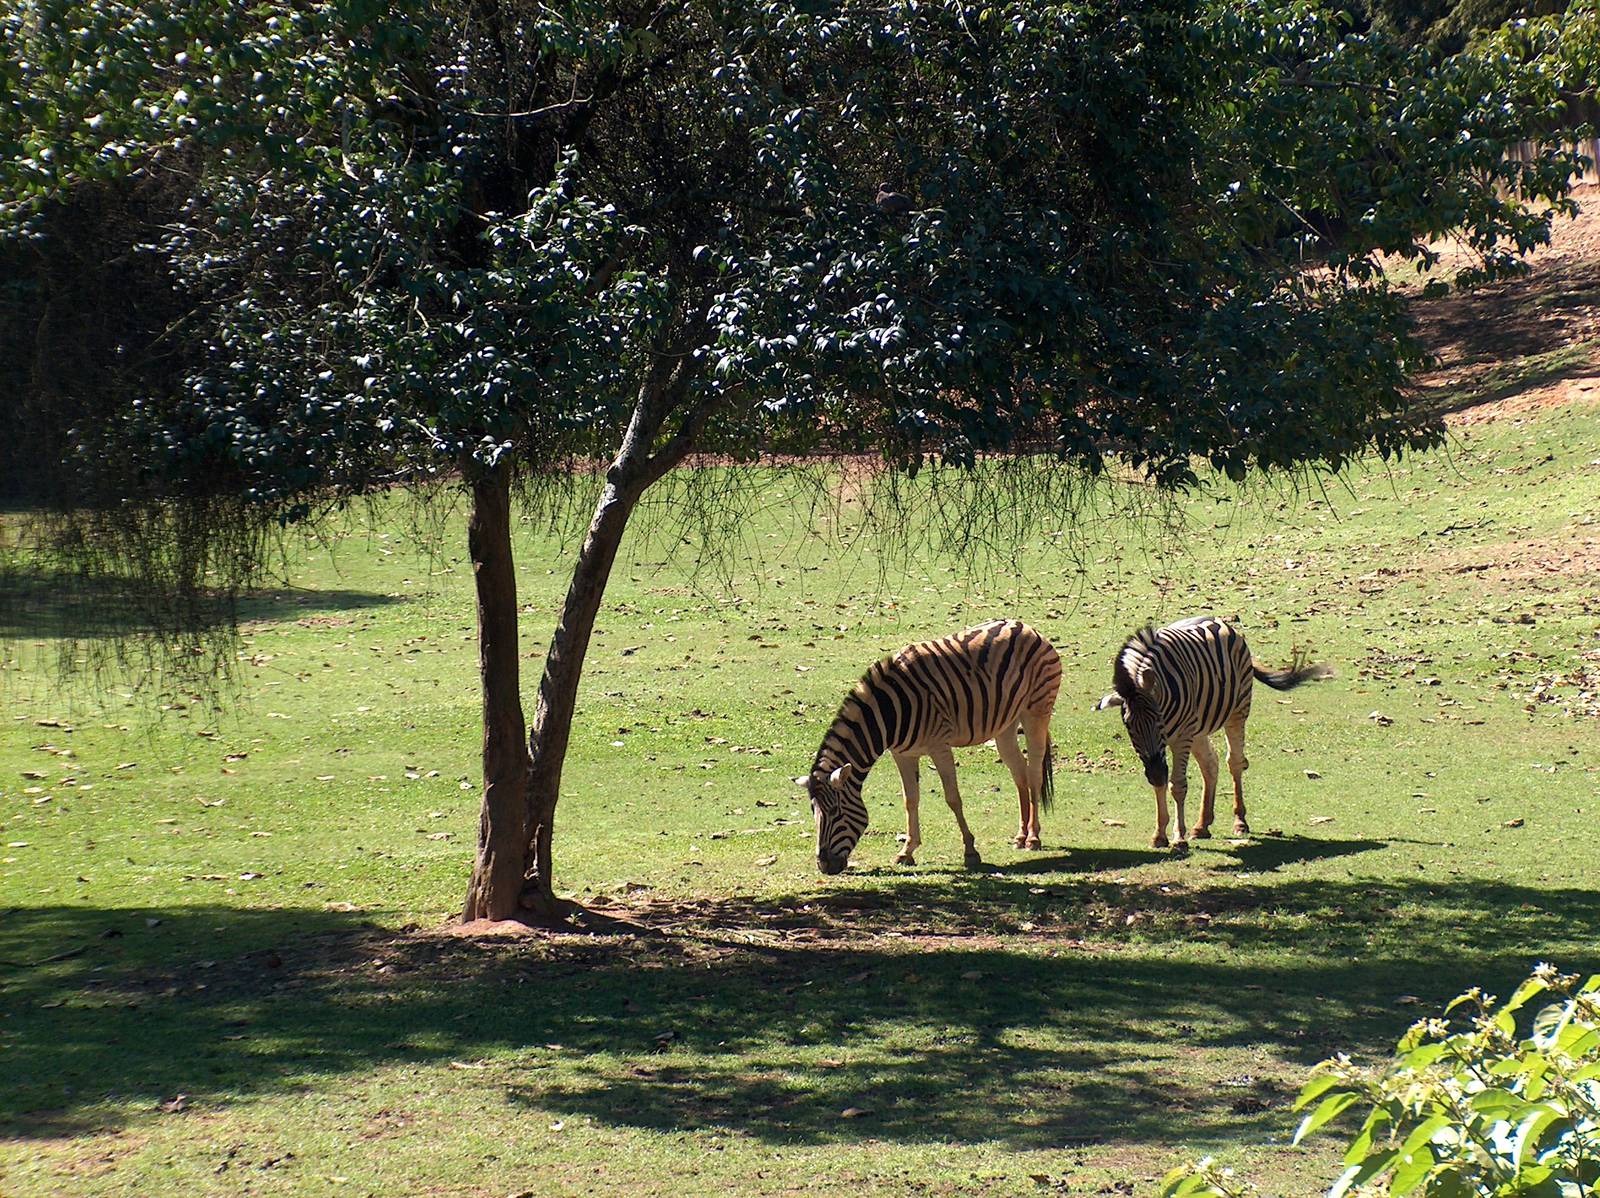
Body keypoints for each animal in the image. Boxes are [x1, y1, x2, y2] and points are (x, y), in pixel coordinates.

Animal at [803, 619, 1061, 875]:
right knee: (1020, 774)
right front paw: (906, 852)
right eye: (813, 812)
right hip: (1005, 726)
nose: (824, 866)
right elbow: (910, 800)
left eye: (835, 812)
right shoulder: (902, 754)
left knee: (1034, 773)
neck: (890, 713)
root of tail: (1024, 626)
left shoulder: (939, 747)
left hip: (1037, 710)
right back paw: (1020, 836)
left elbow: (953, 798)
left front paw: (970, 851)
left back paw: (1033, 838)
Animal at [1094, 616, 1330, 854]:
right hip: (1197, 729)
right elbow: (1161, 784)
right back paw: (1202, 825)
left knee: (1234, 762)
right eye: (1129, 726)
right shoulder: (1164, 748)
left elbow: (1177, 785)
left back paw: (1240, 822)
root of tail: (1218, 620)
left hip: (1236, 712)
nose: (1157, 772)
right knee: (1210, 764)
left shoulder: (1181, 737)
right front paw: (1159, 835)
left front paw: (1179, 838)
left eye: (1158, 720)